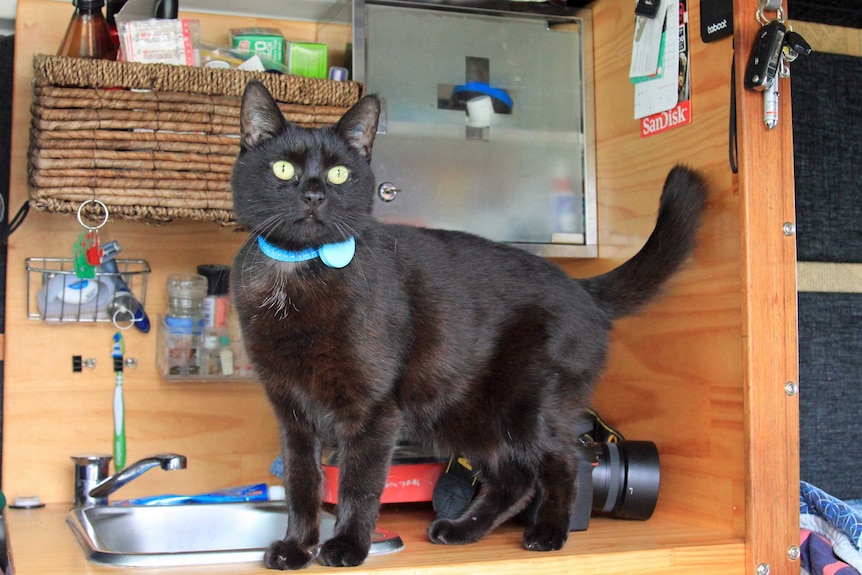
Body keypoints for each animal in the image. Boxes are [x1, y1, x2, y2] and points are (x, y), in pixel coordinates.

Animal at [230, 79, 708, 568]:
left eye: (340, 174)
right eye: (283, 168)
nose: (313, 195)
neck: (297, 274)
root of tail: (581, 288)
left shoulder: (373, 410)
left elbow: (358, 484)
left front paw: (347, 546)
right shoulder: (291, 413)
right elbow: (301, 483)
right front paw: (297, 547)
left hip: (531, 409)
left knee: (563, 462)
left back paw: (548, 533)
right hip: (469, 415)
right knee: (514, 479)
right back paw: (461, 530)